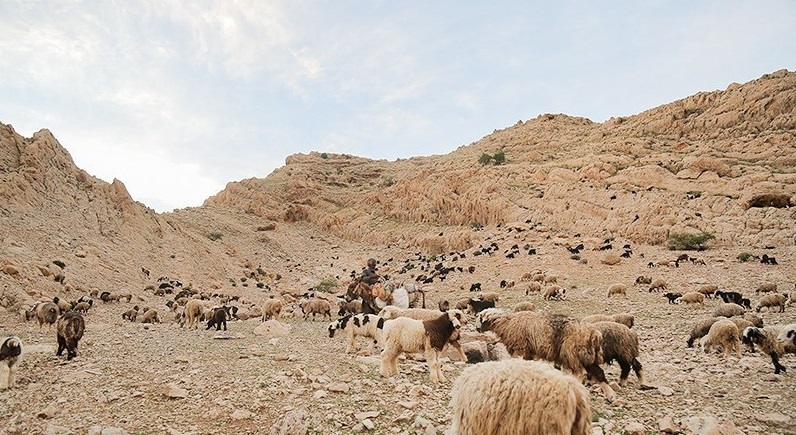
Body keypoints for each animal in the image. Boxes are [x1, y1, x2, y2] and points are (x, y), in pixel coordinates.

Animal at [472, 310, 616, 398]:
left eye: (480, 318)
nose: (477, 329)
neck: (506, 323)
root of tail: (594, 334)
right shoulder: (528, 352)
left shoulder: (519, 348)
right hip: (586, 356)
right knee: (599, 372)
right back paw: (610, 394)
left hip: (572, 352)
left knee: (581, 374)